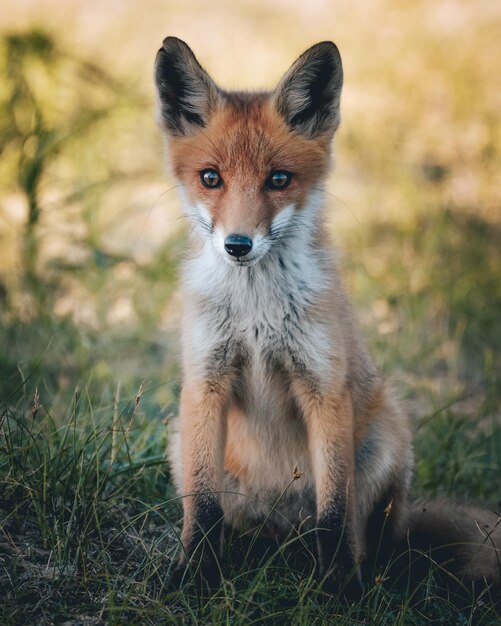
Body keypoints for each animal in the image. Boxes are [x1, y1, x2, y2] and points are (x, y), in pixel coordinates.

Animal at [153, 36, 500, 596]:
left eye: (278, 179)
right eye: (211, 178)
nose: (238, 245)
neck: (257, 315)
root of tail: (281, 532)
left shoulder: (324, 387)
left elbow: (334, 511)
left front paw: (338, 588)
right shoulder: (205, 383)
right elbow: (202, 508)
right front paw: (195, 576)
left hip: (385, 442)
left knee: (362, 534)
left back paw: (367, 570)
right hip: (181, 438)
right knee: (230, 518)